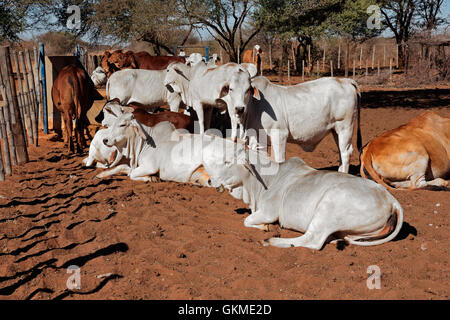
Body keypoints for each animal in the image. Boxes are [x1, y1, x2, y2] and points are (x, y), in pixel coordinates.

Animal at [197, 135, 404, 250]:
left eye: (227, 162)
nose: (210, 181)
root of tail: (390, 200)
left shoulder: (269, 212)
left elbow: (247, 221)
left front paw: (266, 228)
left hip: (328, 208)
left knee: (312, 240)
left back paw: (272, 241)